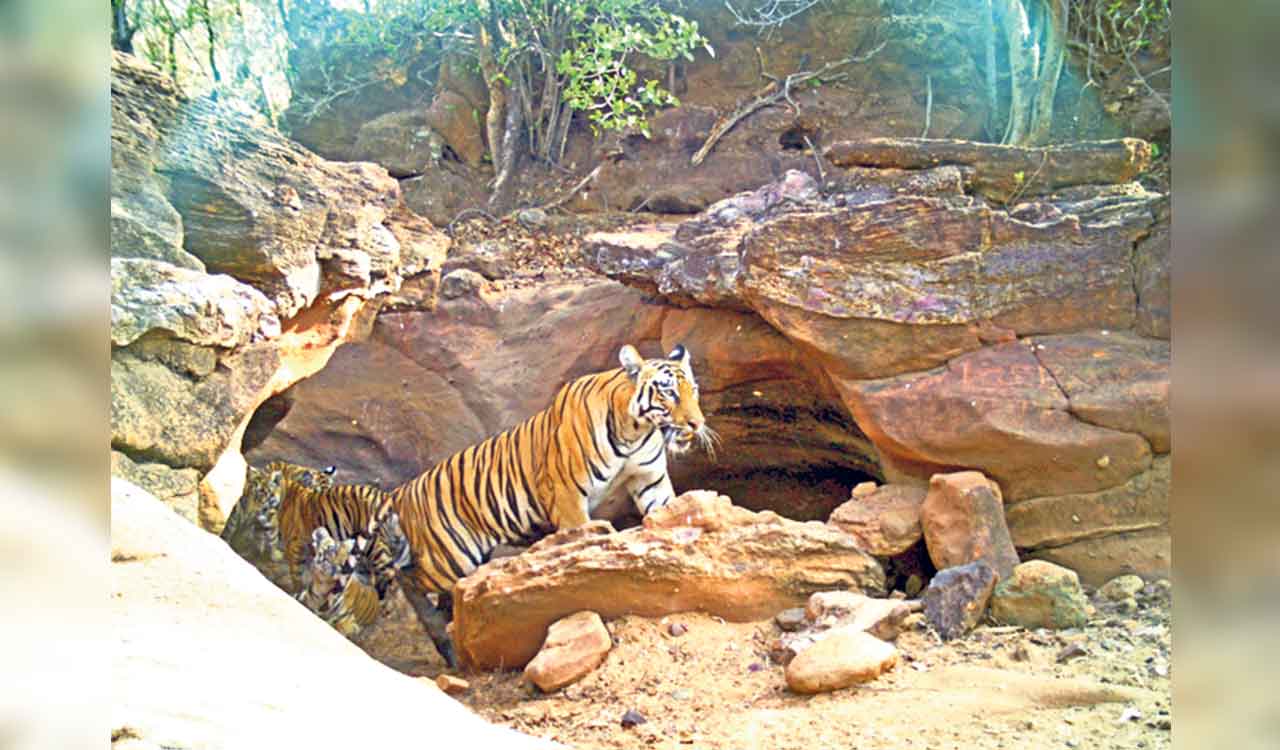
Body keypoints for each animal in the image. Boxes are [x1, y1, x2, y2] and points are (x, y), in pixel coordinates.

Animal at [388, 343, 714, 666]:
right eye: (669, 393)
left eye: (693, 390)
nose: (697, 423)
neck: (635, 431)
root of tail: (403, 490)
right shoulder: (567, 495)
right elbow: (581, 542)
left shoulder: (650, 481)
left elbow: (668, 511)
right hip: (451, 556)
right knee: (406, 577)